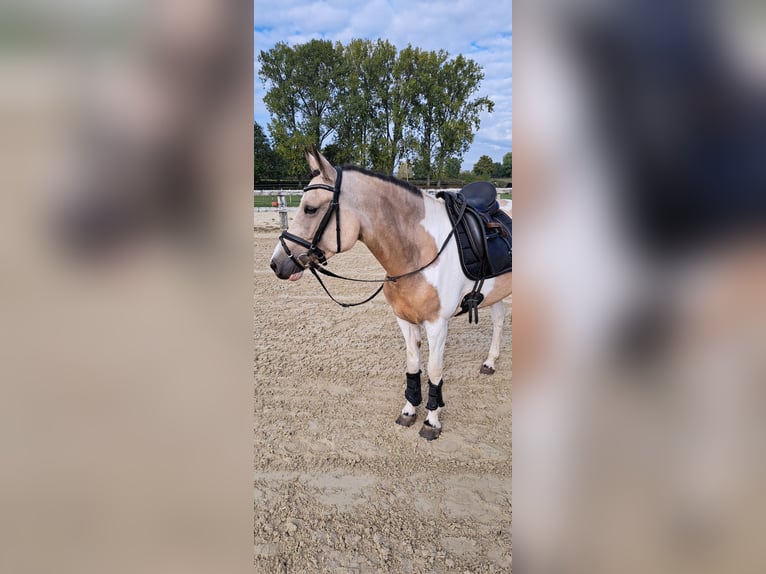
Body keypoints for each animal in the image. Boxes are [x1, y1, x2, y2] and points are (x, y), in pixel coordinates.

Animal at [269, 147, 512, 440]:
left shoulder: (437, 324)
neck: (420, 251)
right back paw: (490, 362)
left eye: (310, 209)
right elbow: (412, 365)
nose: (276, 263)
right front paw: (409, 411)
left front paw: (432, 421)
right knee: (499, 320)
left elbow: (434, 370)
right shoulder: (405, 321)